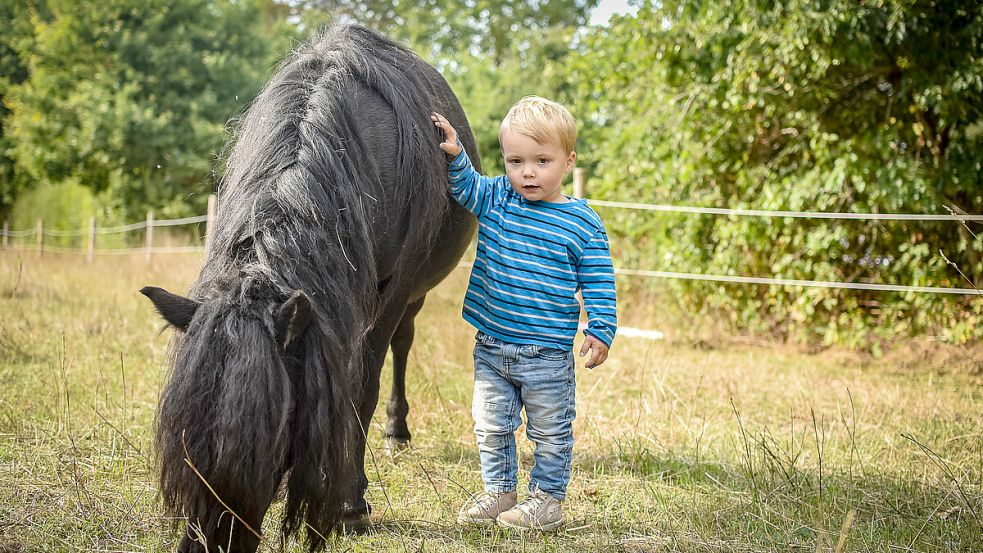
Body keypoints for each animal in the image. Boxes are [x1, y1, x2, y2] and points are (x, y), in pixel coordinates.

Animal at [143, 25, 480, 552]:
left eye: (271, 433)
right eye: (182, 442)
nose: (214, 541)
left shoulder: (390, 296)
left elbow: (362, 387)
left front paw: (350, 505)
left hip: (413, 295)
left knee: (403, 345)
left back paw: (396, 431)